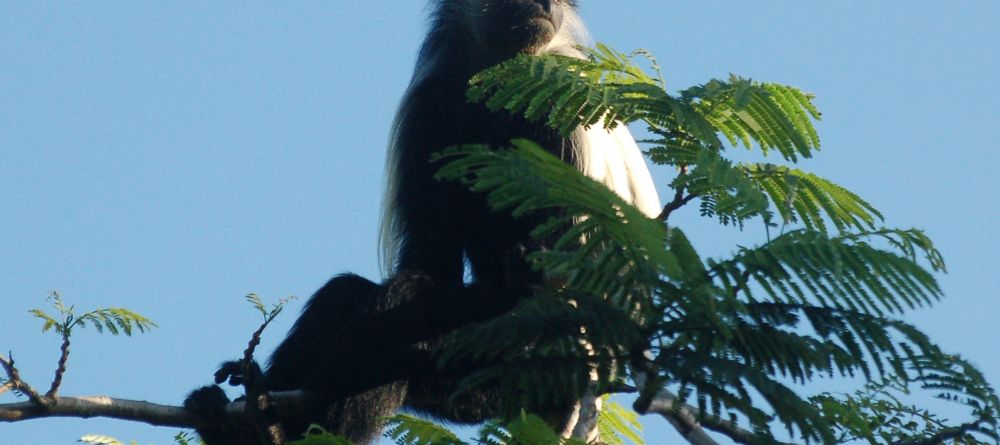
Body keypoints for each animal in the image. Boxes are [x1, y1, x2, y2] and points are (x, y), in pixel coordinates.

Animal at [186, 1, 664, 442]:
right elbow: (430, 258)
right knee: (351, 294)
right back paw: (251, 420)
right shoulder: (428, 109)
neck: (494, 74)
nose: (546, 5)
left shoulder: (553, 102)